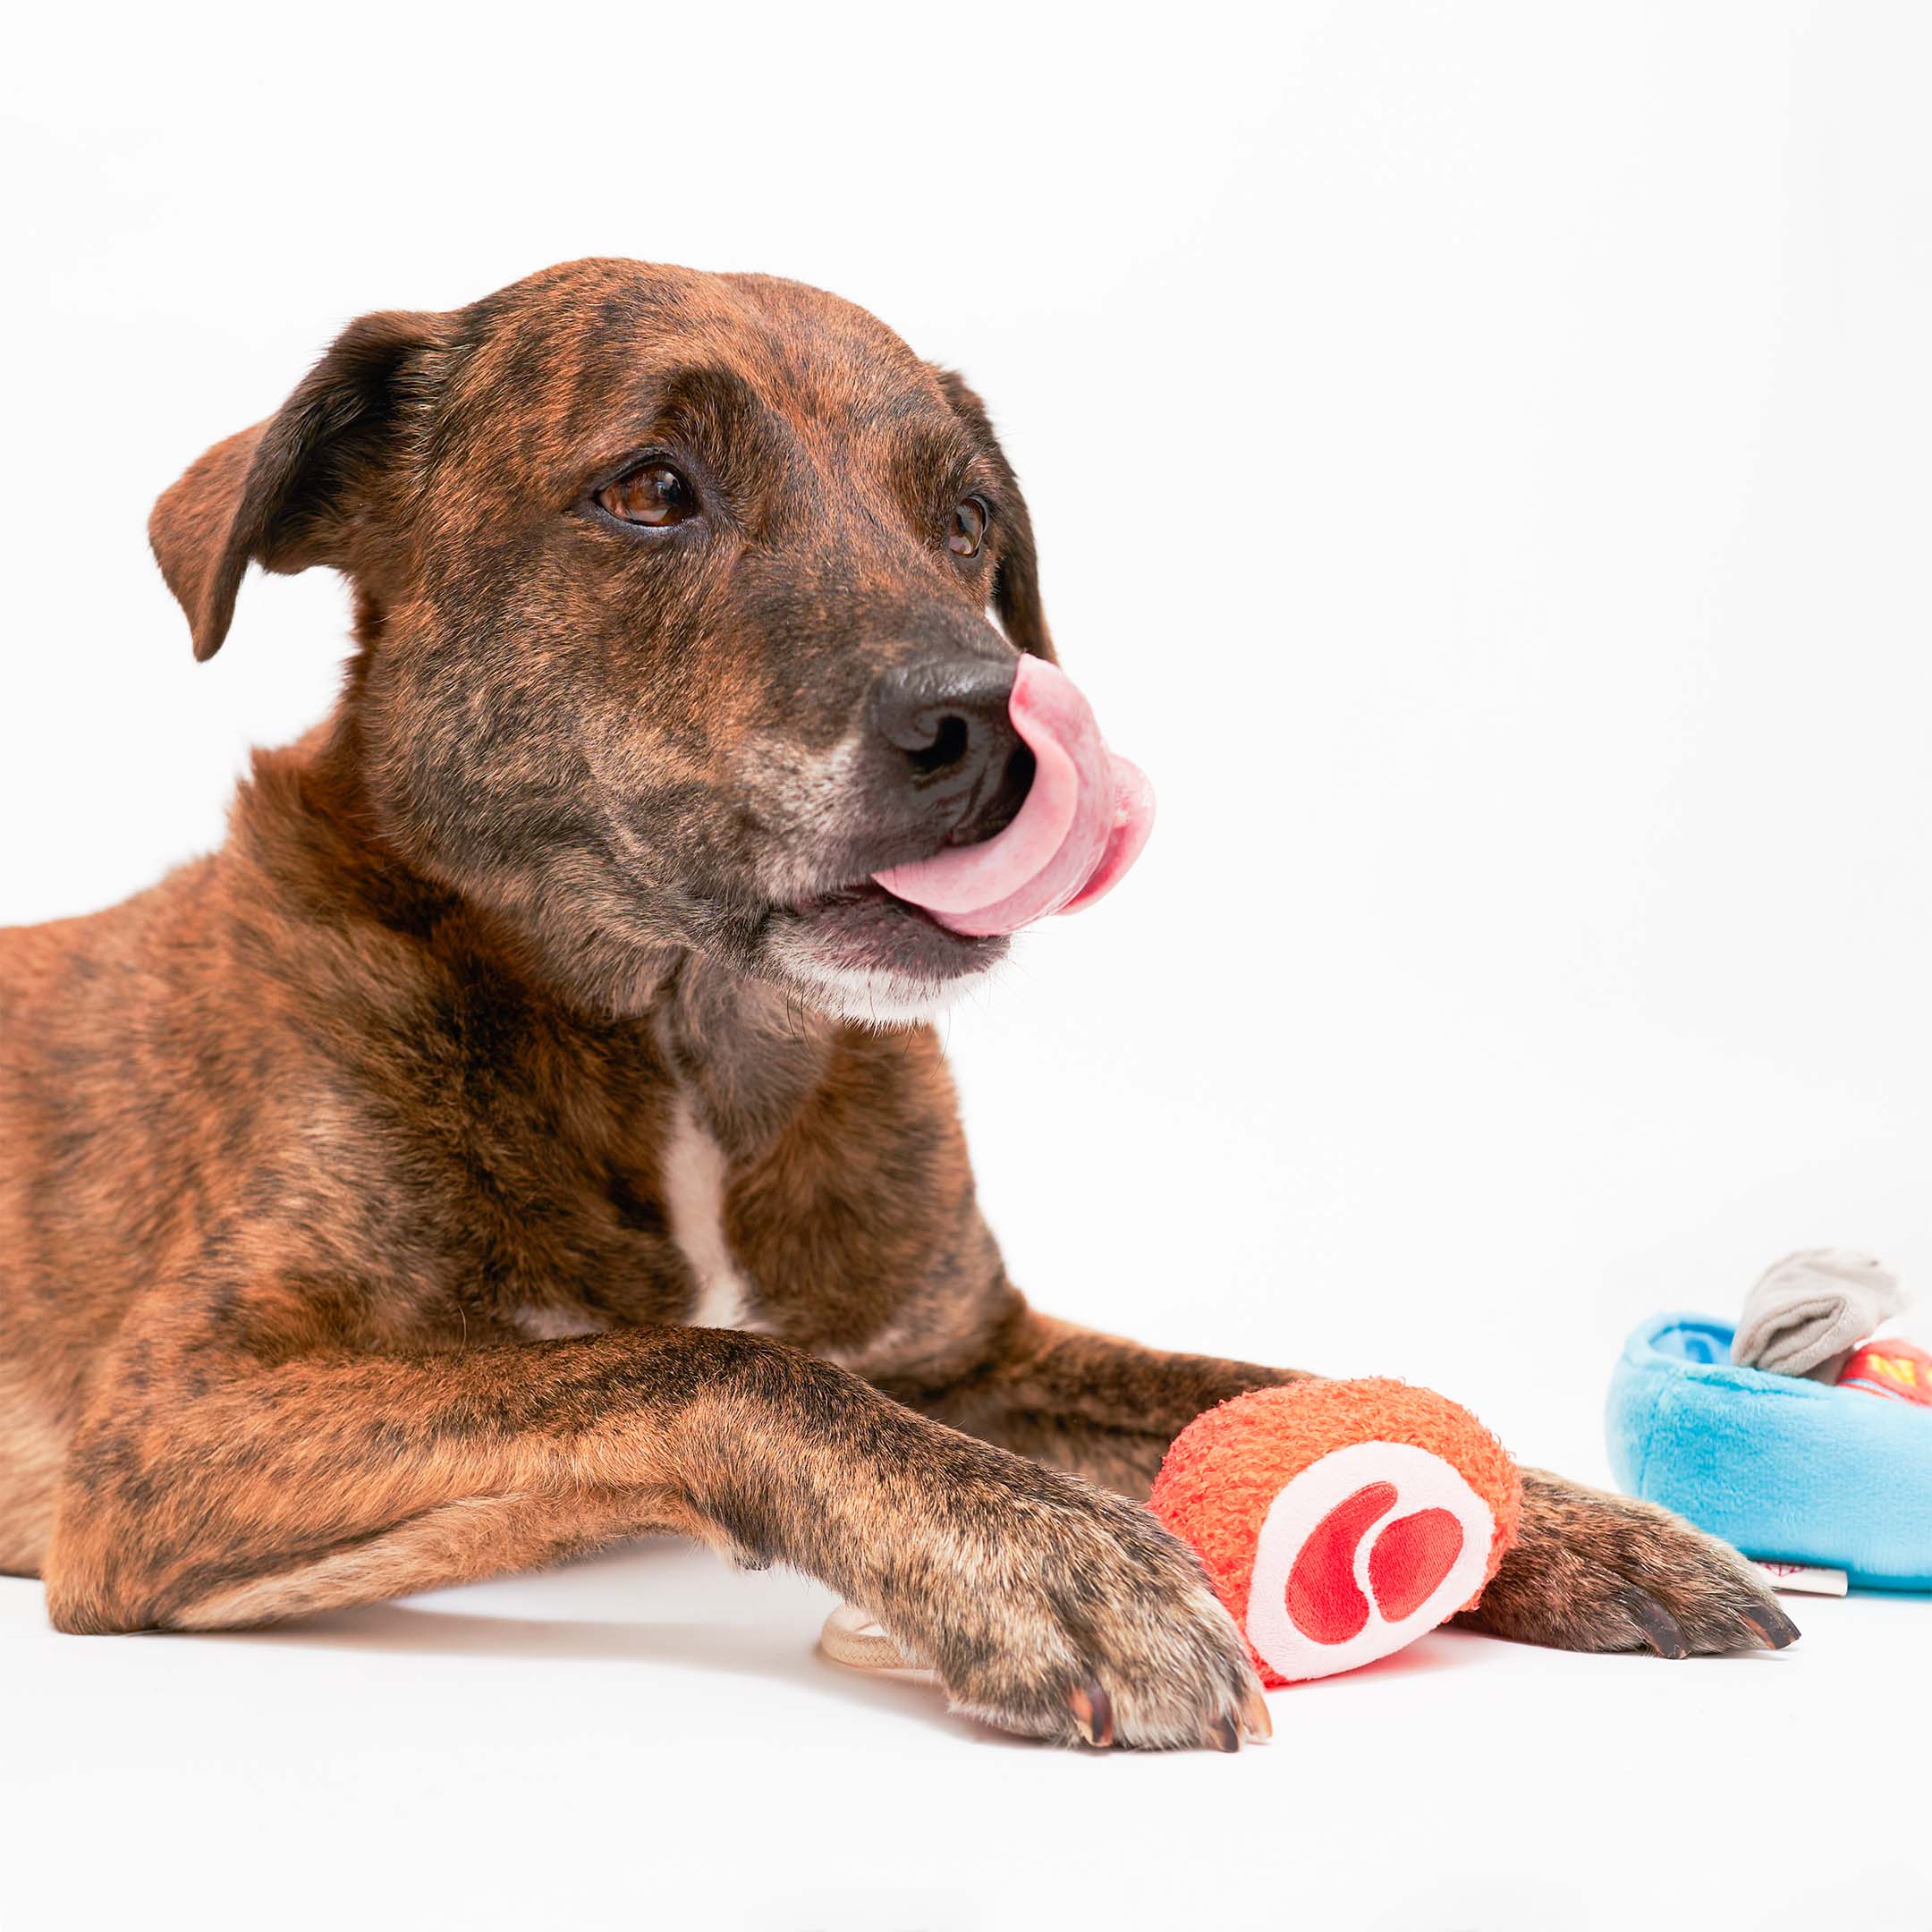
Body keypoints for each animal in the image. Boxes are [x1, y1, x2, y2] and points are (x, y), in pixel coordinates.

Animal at [0, 260, 1792, 1754]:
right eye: (650, 490)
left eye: (968, 519)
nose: (998, 728)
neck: (692, 1043)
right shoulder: (167, 1436)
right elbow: (706, 1365)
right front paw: (1051, 1557)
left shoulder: (979, 1357)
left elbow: (1241, 1385)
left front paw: (1569, 1516)